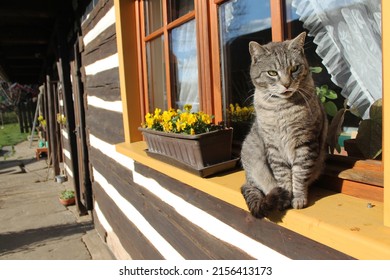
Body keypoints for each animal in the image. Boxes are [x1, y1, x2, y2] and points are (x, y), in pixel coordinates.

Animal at [241, 31, 330, 218]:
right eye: (272, 73)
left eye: (294, 68)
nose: (286, 84)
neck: (281, 108)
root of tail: (246, 180)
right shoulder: (274, 146)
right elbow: (282, 175)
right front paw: (285, 198)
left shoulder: (306, 142)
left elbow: (299, 173)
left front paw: (298, 198)